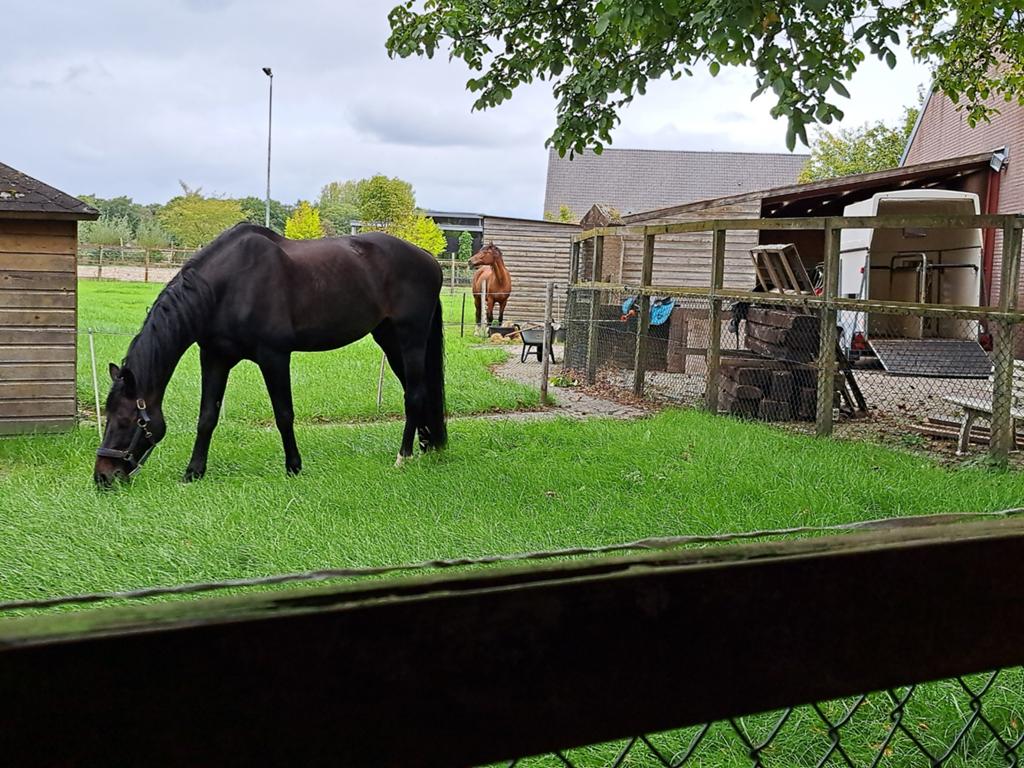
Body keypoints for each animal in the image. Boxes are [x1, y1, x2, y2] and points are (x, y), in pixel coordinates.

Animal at [93, 223, 446, 487]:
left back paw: (403, 457)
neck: (226, 286)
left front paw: (294, 466)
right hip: (388, 337)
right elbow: (207, 417)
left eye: (125, 420)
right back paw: (427, 446)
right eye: (107, 417)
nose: (102, 477)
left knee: (414, 394)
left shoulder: (274, 357)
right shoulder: (214, 357)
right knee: (418, 392)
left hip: (410, 336)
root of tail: (429, 259)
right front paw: (193, 471)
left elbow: (284, 414)